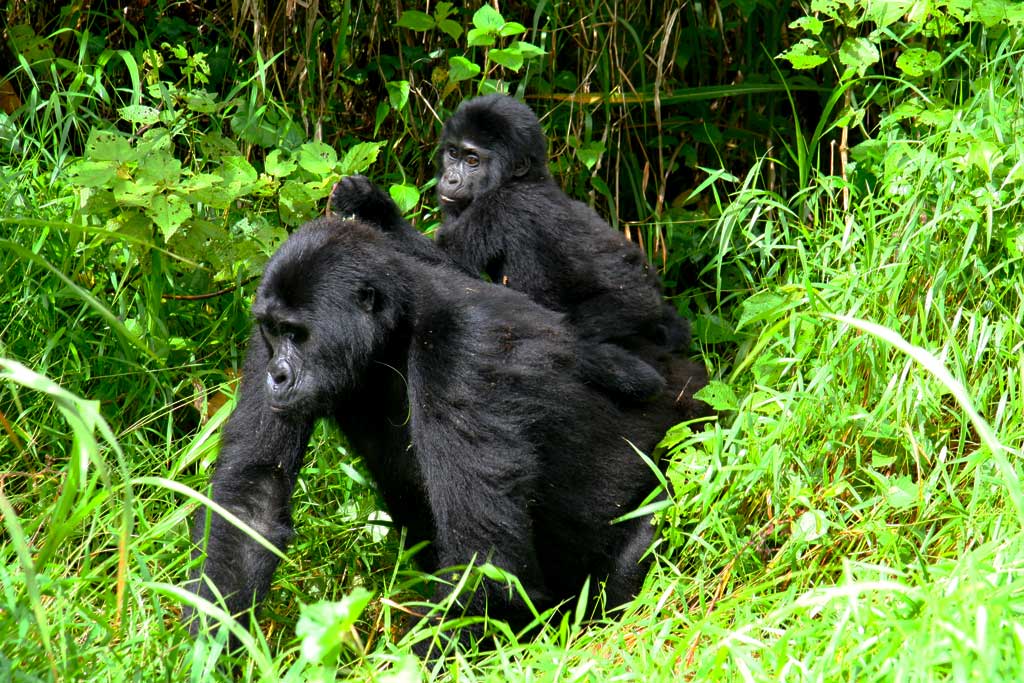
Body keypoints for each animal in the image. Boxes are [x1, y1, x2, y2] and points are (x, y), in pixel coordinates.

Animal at [186, 216, 696, 659]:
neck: (396, 328)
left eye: (298, 334)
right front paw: (208, 655)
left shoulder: (463, 349)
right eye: (274, 331)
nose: (277, 376)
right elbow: (252, 498)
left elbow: (483, 557)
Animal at [329, 93, 704, 403]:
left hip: (630, 310)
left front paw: (374, 205)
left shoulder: (502, 206)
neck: (522, 178)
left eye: (473, 161)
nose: (450, 179)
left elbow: (454, 275)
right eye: (453, 154)